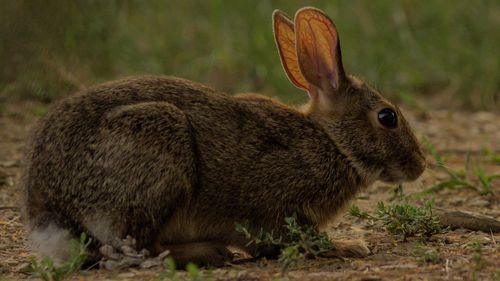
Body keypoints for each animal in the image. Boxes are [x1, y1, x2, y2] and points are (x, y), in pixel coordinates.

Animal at [21, 7, 424, 266]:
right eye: (387, 117)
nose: (419, 166)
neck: (332, 142)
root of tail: (48, 207)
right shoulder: (282, 212)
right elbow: (299, 240)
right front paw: (351, 245)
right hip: (159, 149)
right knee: (136, 247)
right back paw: (208, 253)